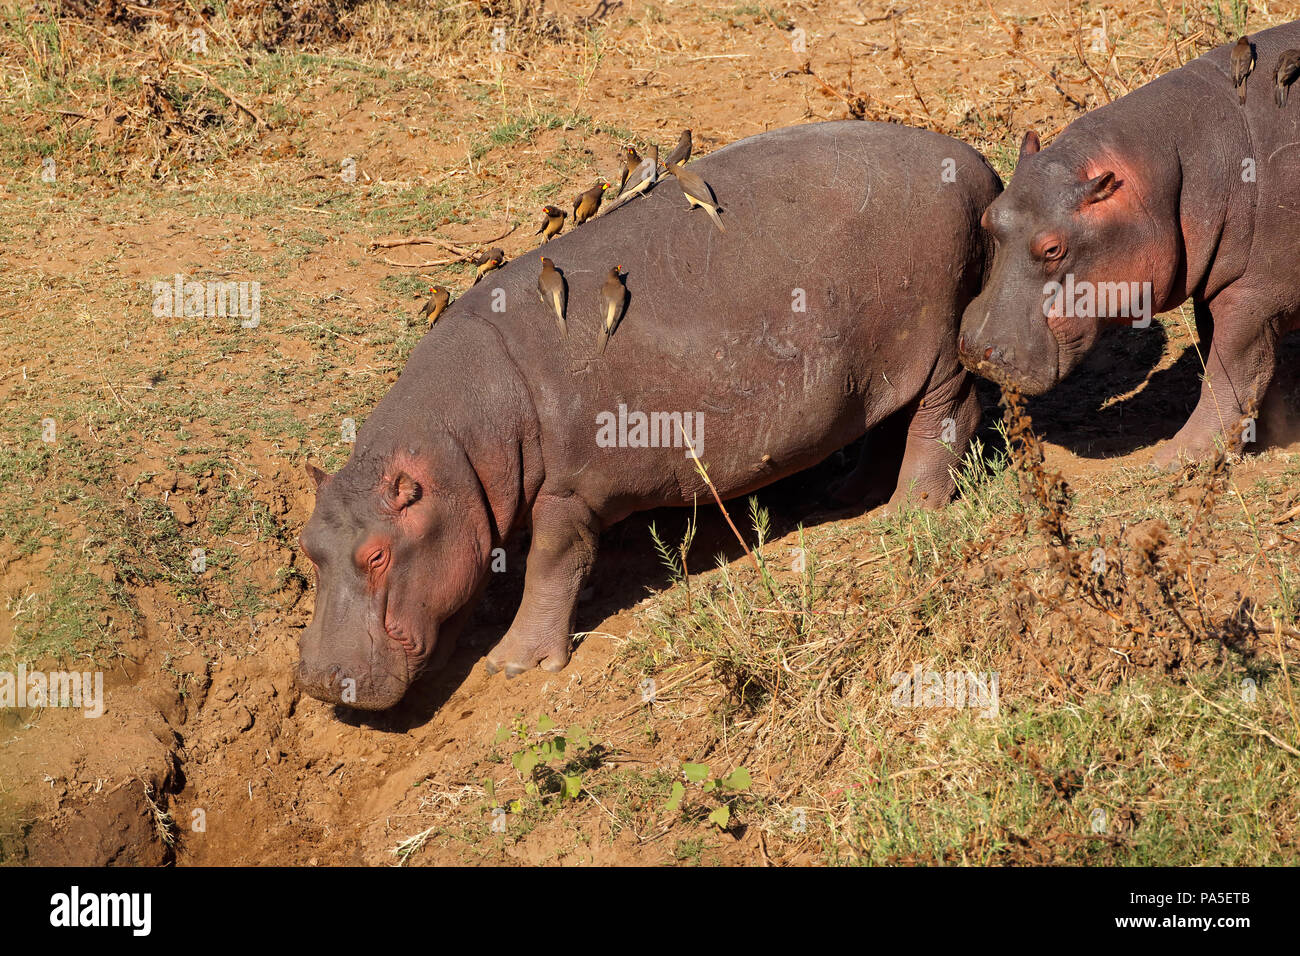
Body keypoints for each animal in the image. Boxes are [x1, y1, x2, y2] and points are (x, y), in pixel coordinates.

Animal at [296, 120, 1001, 710]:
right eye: (308, 547)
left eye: (377, 555)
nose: (319, 681)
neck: (457, 447)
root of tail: (978, 168)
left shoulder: (569, 491)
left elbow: (551, 561)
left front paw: (512, 665)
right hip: (886, 360)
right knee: (888, 421)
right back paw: (842, 496)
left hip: (939, 343)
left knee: (946, 416)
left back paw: (907, 512)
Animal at [958, 21, 1300, 465]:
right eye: (989, 216)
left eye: (1052, 249)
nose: (975, 347)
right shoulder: (1217, 286)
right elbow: (1232, 358)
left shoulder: (1254, 296)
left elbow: (1232, 369)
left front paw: (1176, 460)